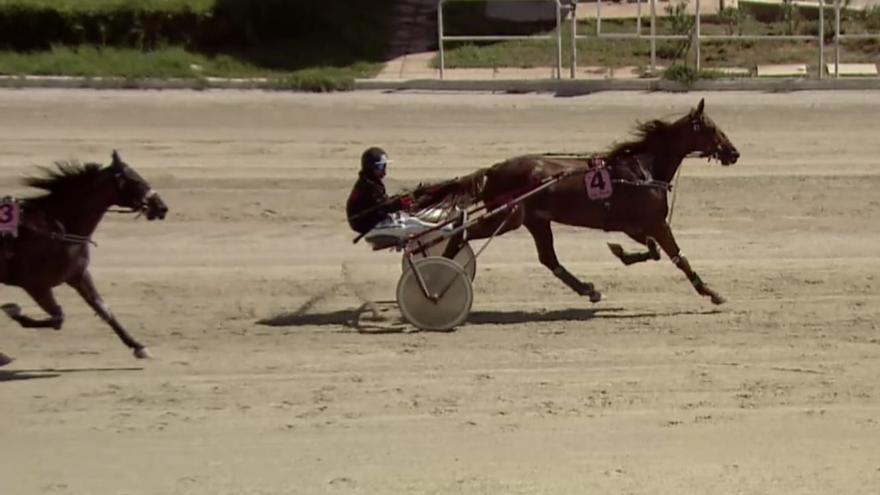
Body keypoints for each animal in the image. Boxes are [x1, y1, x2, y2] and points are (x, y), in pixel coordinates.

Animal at [0, 151, 168, 364]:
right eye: (136, 180)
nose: (162, 207)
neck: (57, 230)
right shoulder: (35, 285)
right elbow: (58, 318)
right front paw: (13, 310)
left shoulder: (78, 275)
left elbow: (103, 310)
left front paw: (138, 346)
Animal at [422, 99, 740, 304]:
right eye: (712, 128)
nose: (734, 153)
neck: (644, 170)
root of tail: (493, 170)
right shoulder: (657, 223)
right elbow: (677, 257)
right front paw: (712, 293)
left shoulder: (634, 225)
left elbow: (653, 251)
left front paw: (620, 252)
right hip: (507, 217)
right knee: (461, 234)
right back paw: (438, 272)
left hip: (535, 220)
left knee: (548, 259)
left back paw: (588, 289)